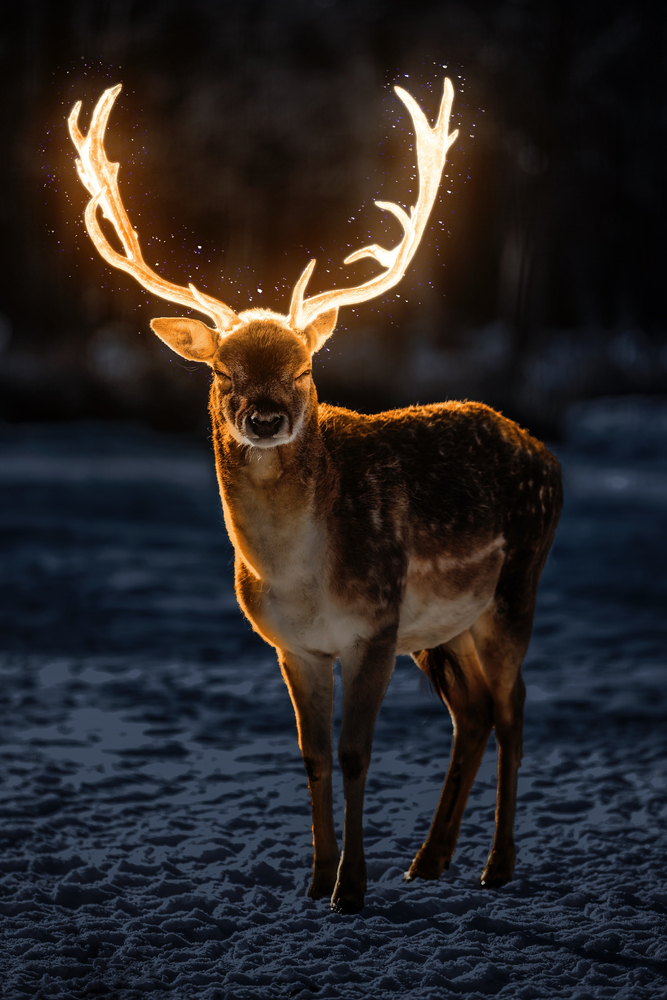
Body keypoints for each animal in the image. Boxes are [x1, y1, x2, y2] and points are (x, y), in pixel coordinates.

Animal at [68, 78, 562, 915]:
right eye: (221, 371)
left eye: (302, 368)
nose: (266, 416)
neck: (299, 577)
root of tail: (546, 453)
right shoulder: (292, 645)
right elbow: (313, 756)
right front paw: (313, 878)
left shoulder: (373, 625)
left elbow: (358, 753)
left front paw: (349, 888)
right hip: (442, 629)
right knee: (471, 715)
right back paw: (428, 861)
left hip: (512, 590)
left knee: (513, 712)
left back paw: (495, 867)